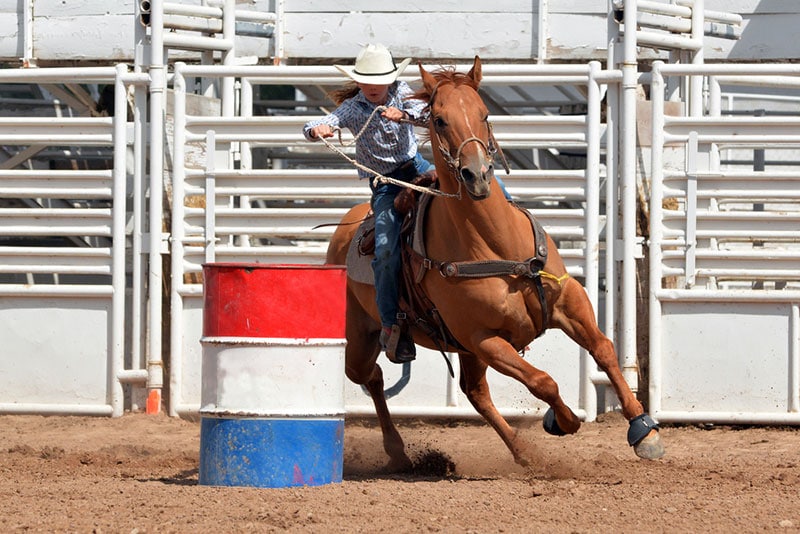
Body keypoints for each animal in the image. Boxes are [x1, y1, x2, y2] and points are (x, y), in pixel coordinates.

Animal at [325, 56, 665, 472]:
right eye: (439, 120)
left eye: (484, 114)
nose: (477, 175)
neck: (495, 243)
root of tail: (346, 229)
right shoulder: (483, 338)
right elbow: (542, 381)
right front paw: (563, 420)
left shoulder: (568, 299)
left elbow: (602, 348)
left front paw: (643, 430)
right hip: (363, 338)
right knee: (371, 376)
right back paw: (399, 451)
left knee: (473, 392)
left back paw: (522, 452)